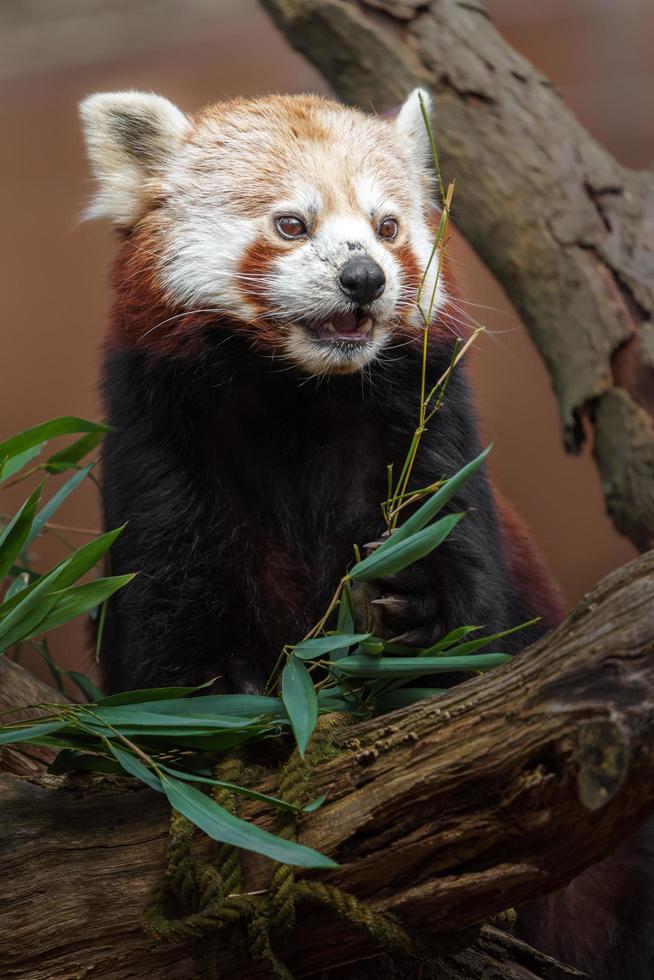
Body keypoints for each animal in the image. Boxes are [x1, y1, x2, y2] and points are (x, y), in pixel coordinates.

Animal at [78, 88, 652, 976]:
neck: (300, 397)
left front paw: (414, 611)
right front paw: (231, 704)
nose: (364, 277)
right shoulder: (161, 446)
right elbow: (159, 651)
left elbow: (479, 616)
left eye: (387, 227)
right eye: (290, 224)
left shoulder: (429, 432)